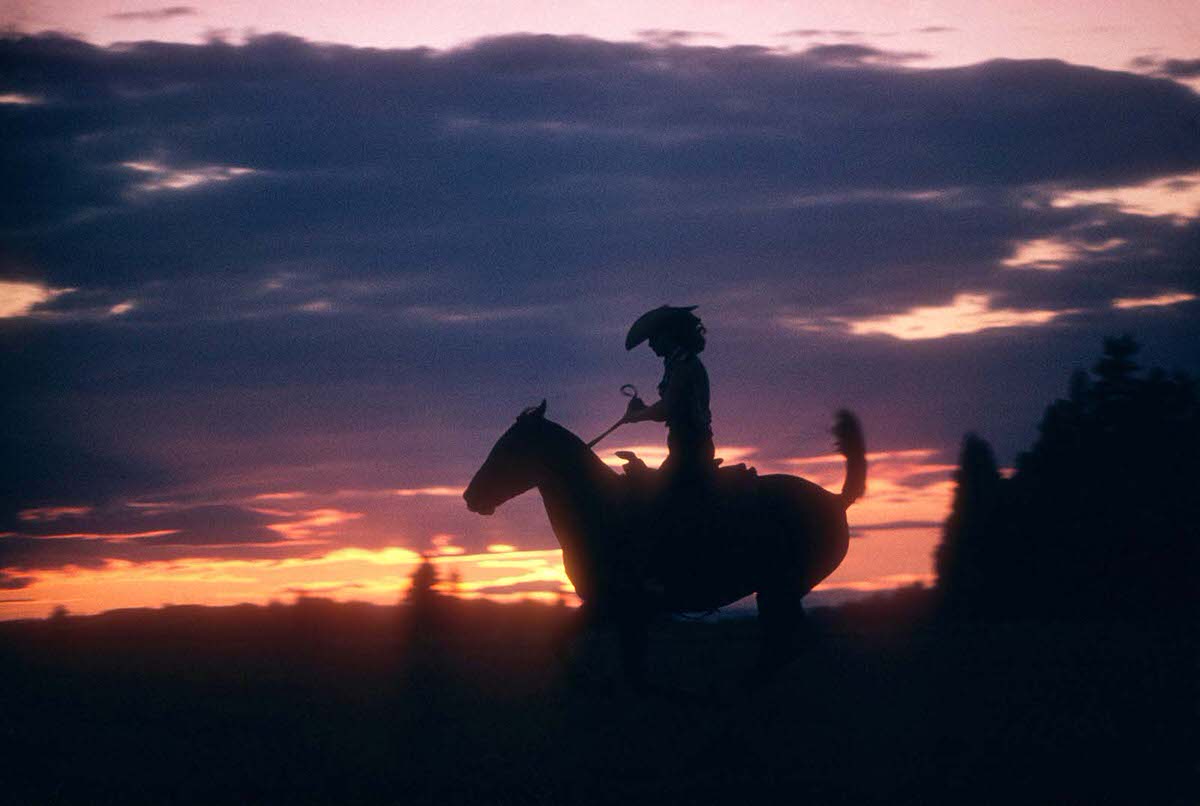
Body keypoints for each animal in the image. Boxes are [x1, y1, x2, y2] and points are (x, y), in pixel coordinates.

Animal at [458, 400, 864, 690]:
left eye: (509, 448)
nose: (470, 496)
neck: (600, 506)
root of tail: (835, 499)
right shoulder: (620, 611)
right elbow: (628, 666)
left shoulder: (617, 605)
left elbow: (601, 657)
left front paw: (592, 681)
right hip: (780, 593)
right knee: (786, 644)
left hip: (779, 590)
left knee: (787, 645)